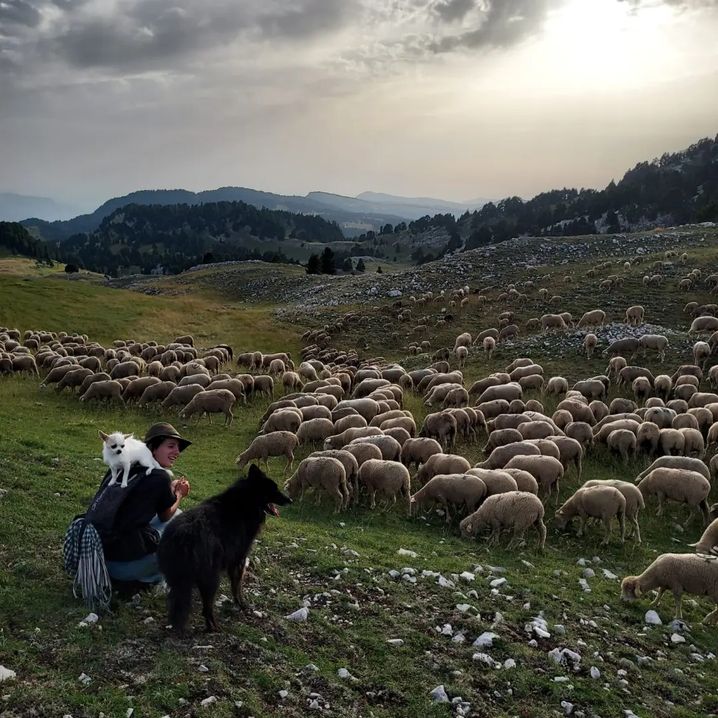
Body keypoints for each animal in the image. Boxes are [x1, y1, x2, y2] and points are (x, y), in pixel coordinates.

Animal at [158, 464, 292, 632]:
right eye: (273, 489)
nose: (291, 500)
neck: (245, 501)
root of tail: (183, 536)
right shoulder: (239, 560)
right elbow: (237, 587)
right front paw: (241, 604)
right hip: (211, 578)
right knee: (207, 607)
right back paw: (213, 627)